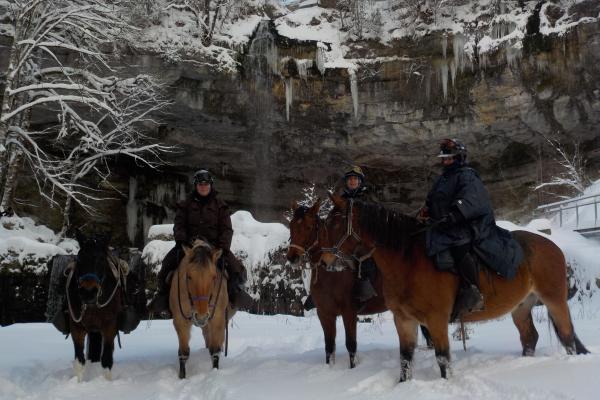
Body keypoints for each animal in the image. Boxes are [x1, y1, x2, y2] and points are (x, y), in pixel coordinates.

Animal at [66, 231, 125, 382]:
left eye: (101, 260)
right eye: (79, 259)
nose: (88, 292)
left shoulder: (110, 326)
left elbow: (107, 359)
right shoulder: (76, 327)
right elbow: (79, 361)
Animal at [171, 239, 234, 380]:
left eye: (214, 277)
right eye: (189, 276)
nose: (201, 317)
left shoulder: (217, 319)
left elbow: (215, 351)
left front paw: (214, 372)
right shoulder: (180, 320)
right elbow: (183, 352)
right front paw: (182, 377)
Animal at [286, 199, 432, 368]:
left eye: (308, 227)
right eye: (291, 226)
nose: (292, 257)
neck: (332, 273)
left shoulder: (349, 312)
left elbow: (351, 344)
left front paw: (352, 368)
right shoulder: (324, 313)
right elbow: (329, 346)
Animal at [322, 195, 588, 382]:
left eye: (336, 224)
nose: (325, 262)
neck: (408, 262)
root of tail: (552, 246)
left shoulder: (436, 320)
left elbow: (443, 358)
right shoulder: (404, 320)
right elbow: (405, 359)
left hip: (554, 301)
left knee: (567, 337)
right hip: (521, 307)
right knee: (530, 337)